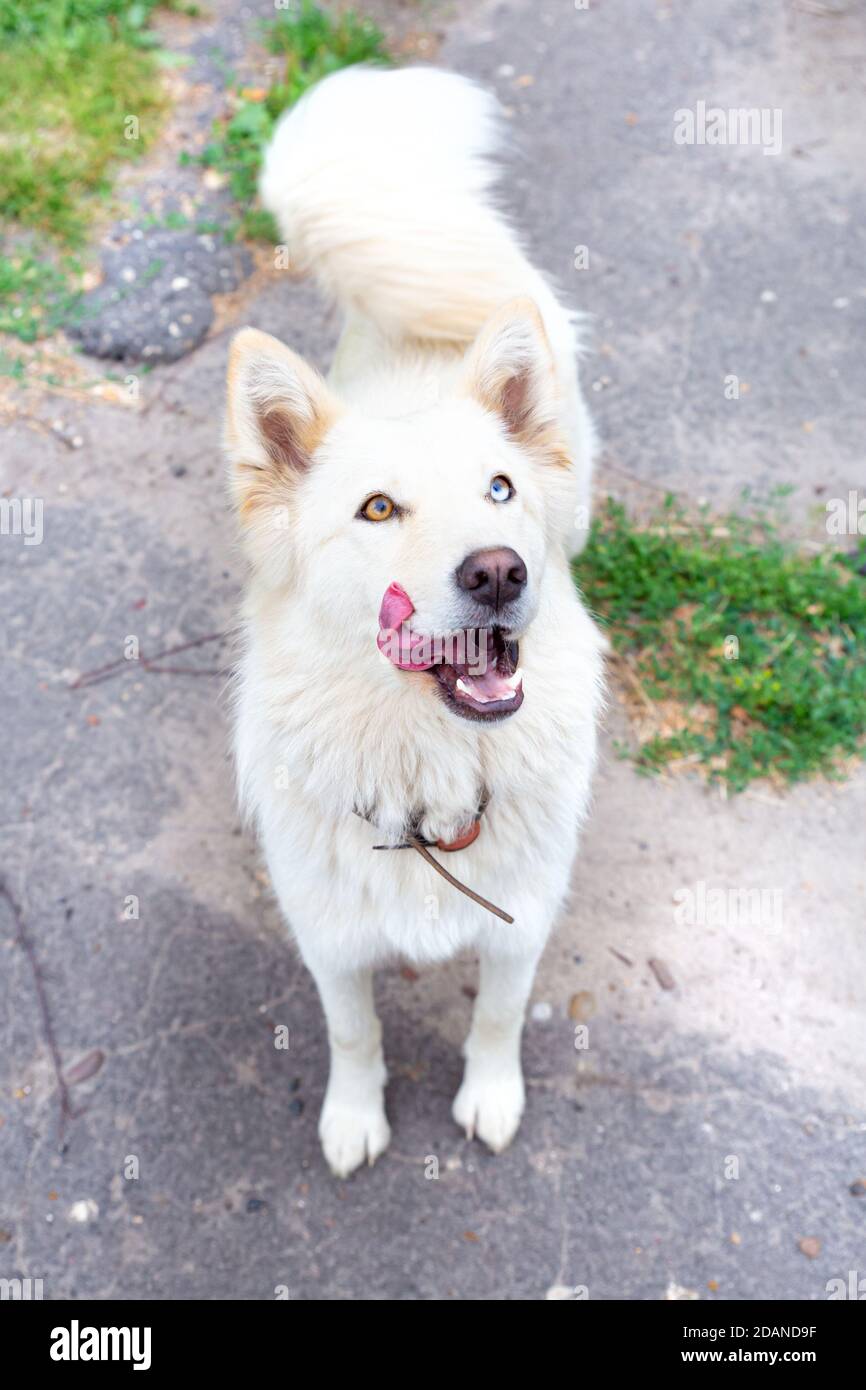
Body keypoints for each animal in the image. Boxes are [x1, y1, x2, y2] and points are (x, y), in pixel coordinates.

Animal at [223, 62, 603, 1173]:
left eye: (498, 490)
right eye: (378, 510)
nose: (497, 573)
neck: (426, 769)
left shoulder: (520, 926)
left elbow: (496, 1017)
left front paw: (490, 1097)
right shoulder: (330, 940)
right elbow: (354, 1033)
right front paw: (355, 1119)